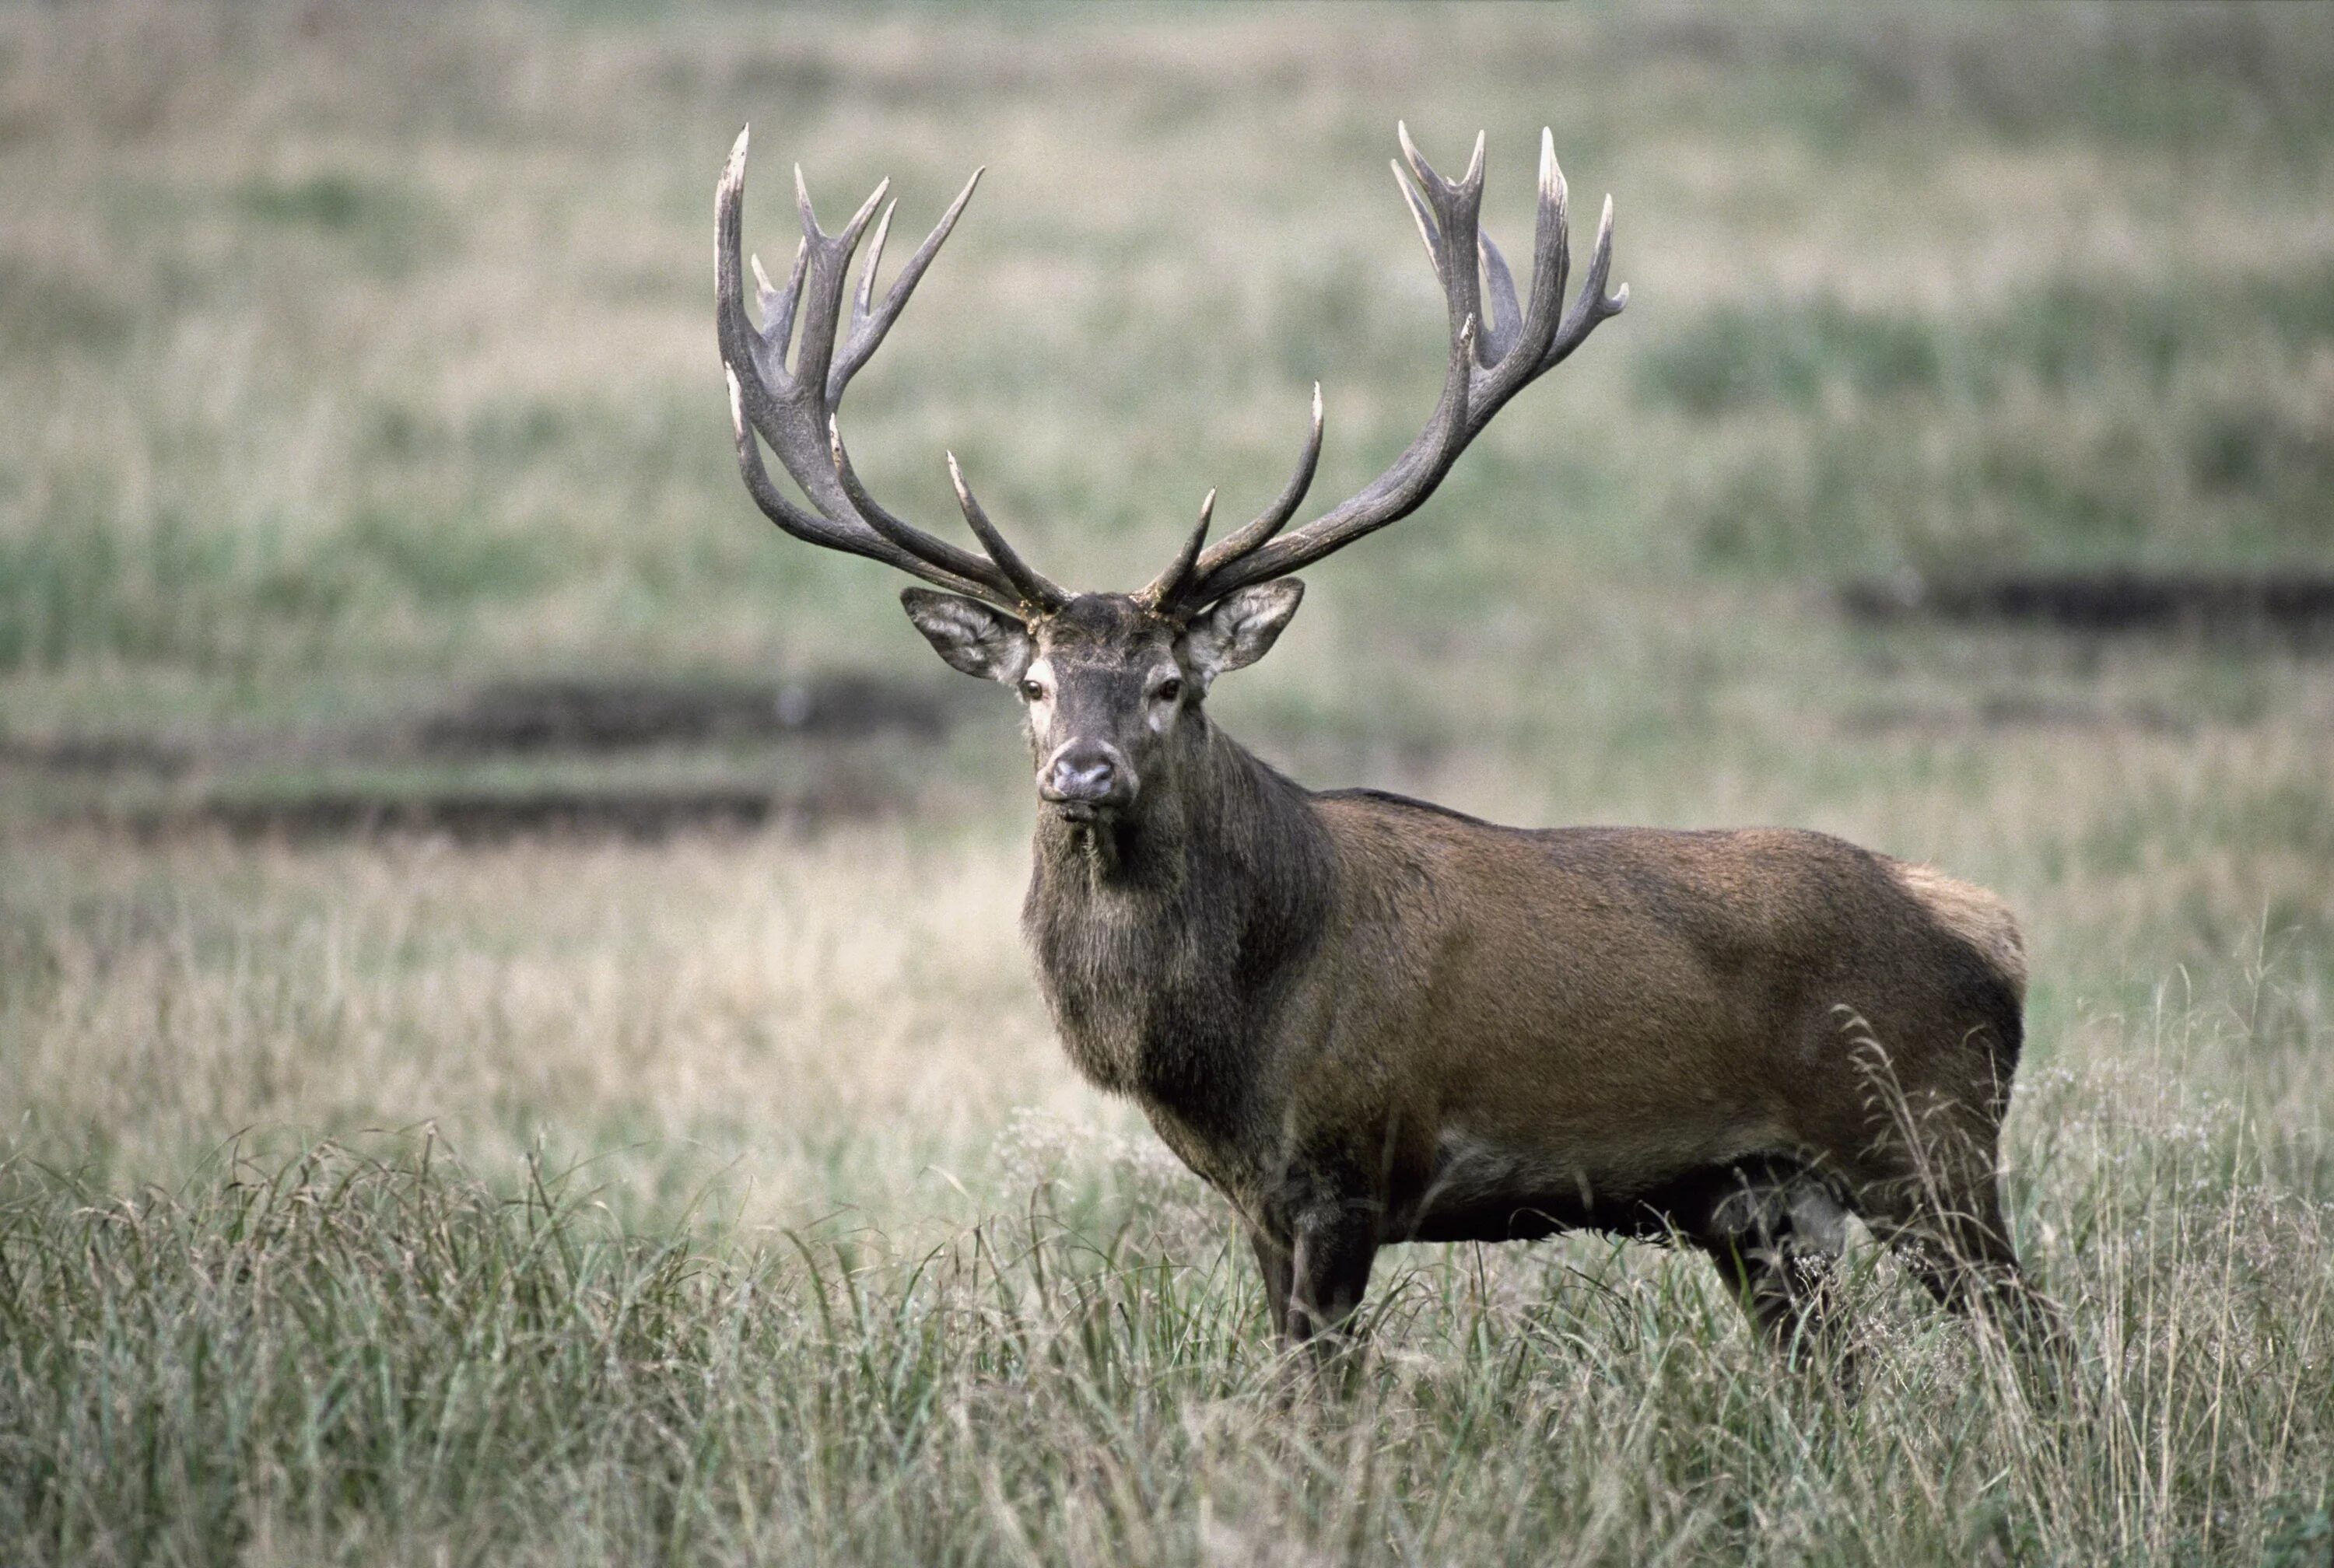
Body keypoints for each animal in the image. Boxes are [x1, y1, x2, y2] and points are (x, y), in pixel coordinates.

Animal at [714, 122, 2063, 1363]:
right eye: (1035, 685)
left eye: (1170, 685)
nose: (1081, 774)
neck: (1228, 1036)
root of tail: (1990, 925)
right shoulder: (1257, 1199)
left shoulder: (1348, 1166)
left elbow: (1319, 1398)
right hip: (1758, 1206)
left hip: (1925, 1139)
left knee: (2037, 1342)